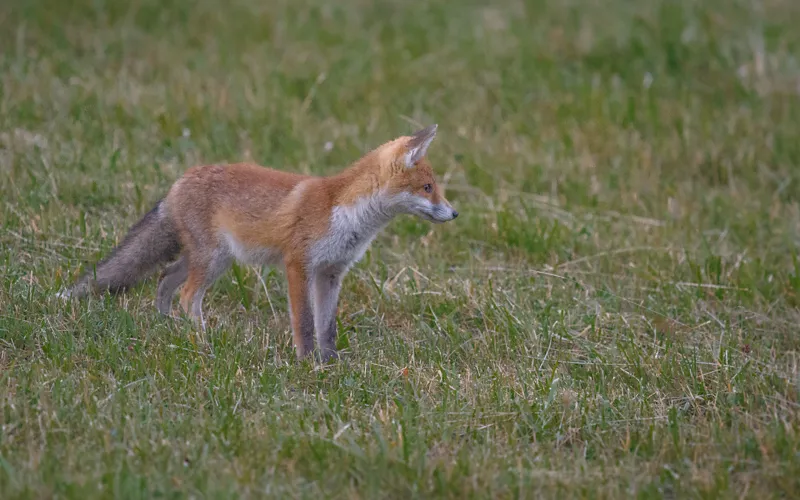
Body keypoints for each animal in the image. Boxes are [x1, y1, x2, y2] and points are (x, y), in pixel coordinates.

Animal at [57, 124, 456, 360]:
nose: (454, 214)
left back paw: (167, 327)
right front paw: (306, 364)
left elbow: (327, 327)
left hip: (211, 259)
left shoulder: (331, 273)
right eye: (427, 188)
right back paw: (203, 341)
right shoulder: (299, 265)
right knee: (187, 295)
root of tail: (179, 181)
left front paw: (331, 364)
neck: (346, 214)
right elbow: (305, 323)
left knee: (164, 279)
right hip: (212, 261)